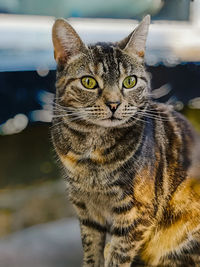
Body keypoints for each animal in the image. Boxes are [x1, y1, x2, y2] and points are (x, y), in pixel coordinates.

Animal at [51, 15, 200, 267]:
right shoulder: (86, 210)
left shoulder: (136, 214)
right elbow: (92, 252)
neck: (92, 151)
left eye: (130, 81)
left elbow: (117, 258)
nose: (114, 104)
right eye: (89, 82)